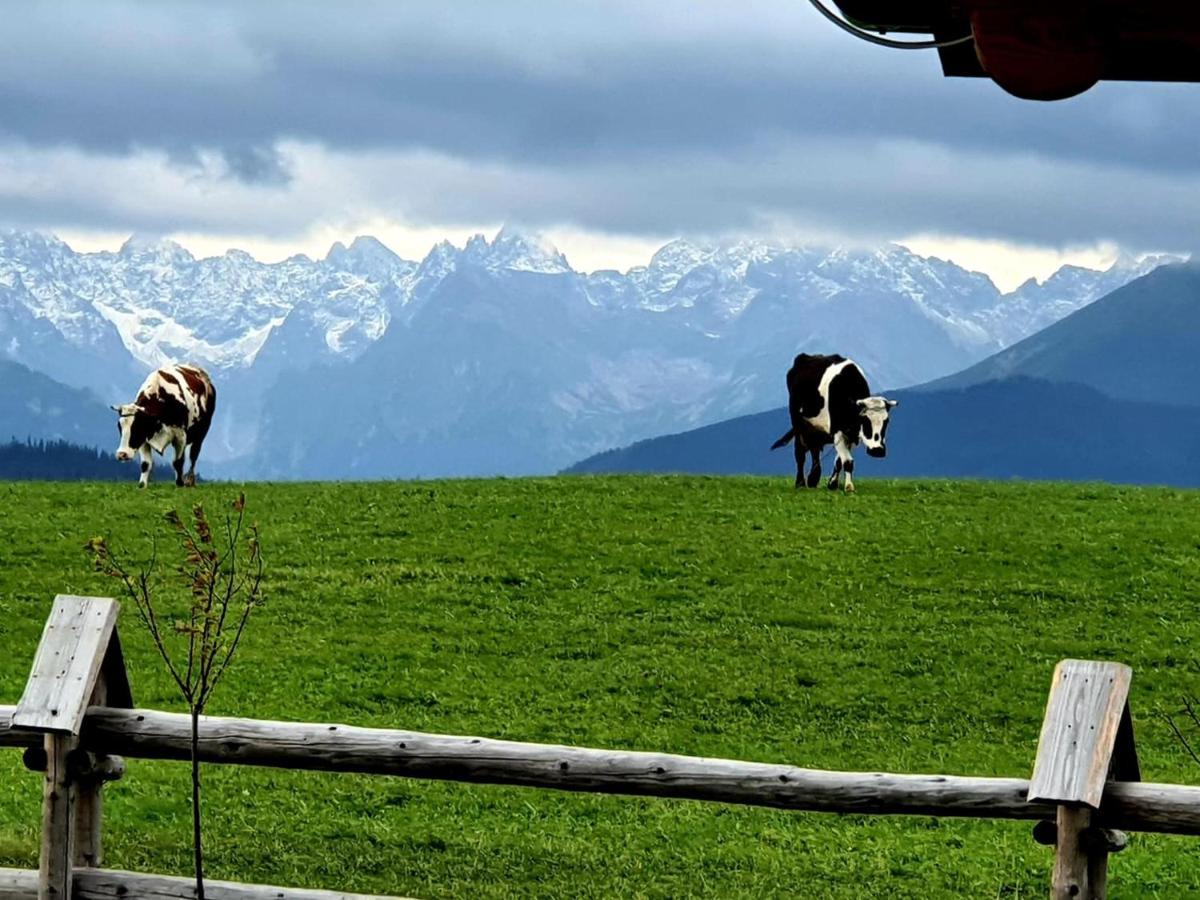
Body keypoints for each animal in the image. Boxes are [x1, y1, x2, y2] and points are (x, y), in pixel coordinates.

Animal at [772, 352, 897, 494]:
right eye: (864, 420)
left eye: (886, 421)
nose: (878, 451)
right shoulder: (838, 431)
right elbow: (847, 461)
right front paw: (849, 487)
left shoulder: (851, 433)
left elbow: (839, 461)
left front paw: (832, 483)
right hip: (798, 423)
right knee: (800, 453)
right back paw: (801, 483)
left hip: (815, 429)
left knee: (815, 450)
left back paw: (813, 479)